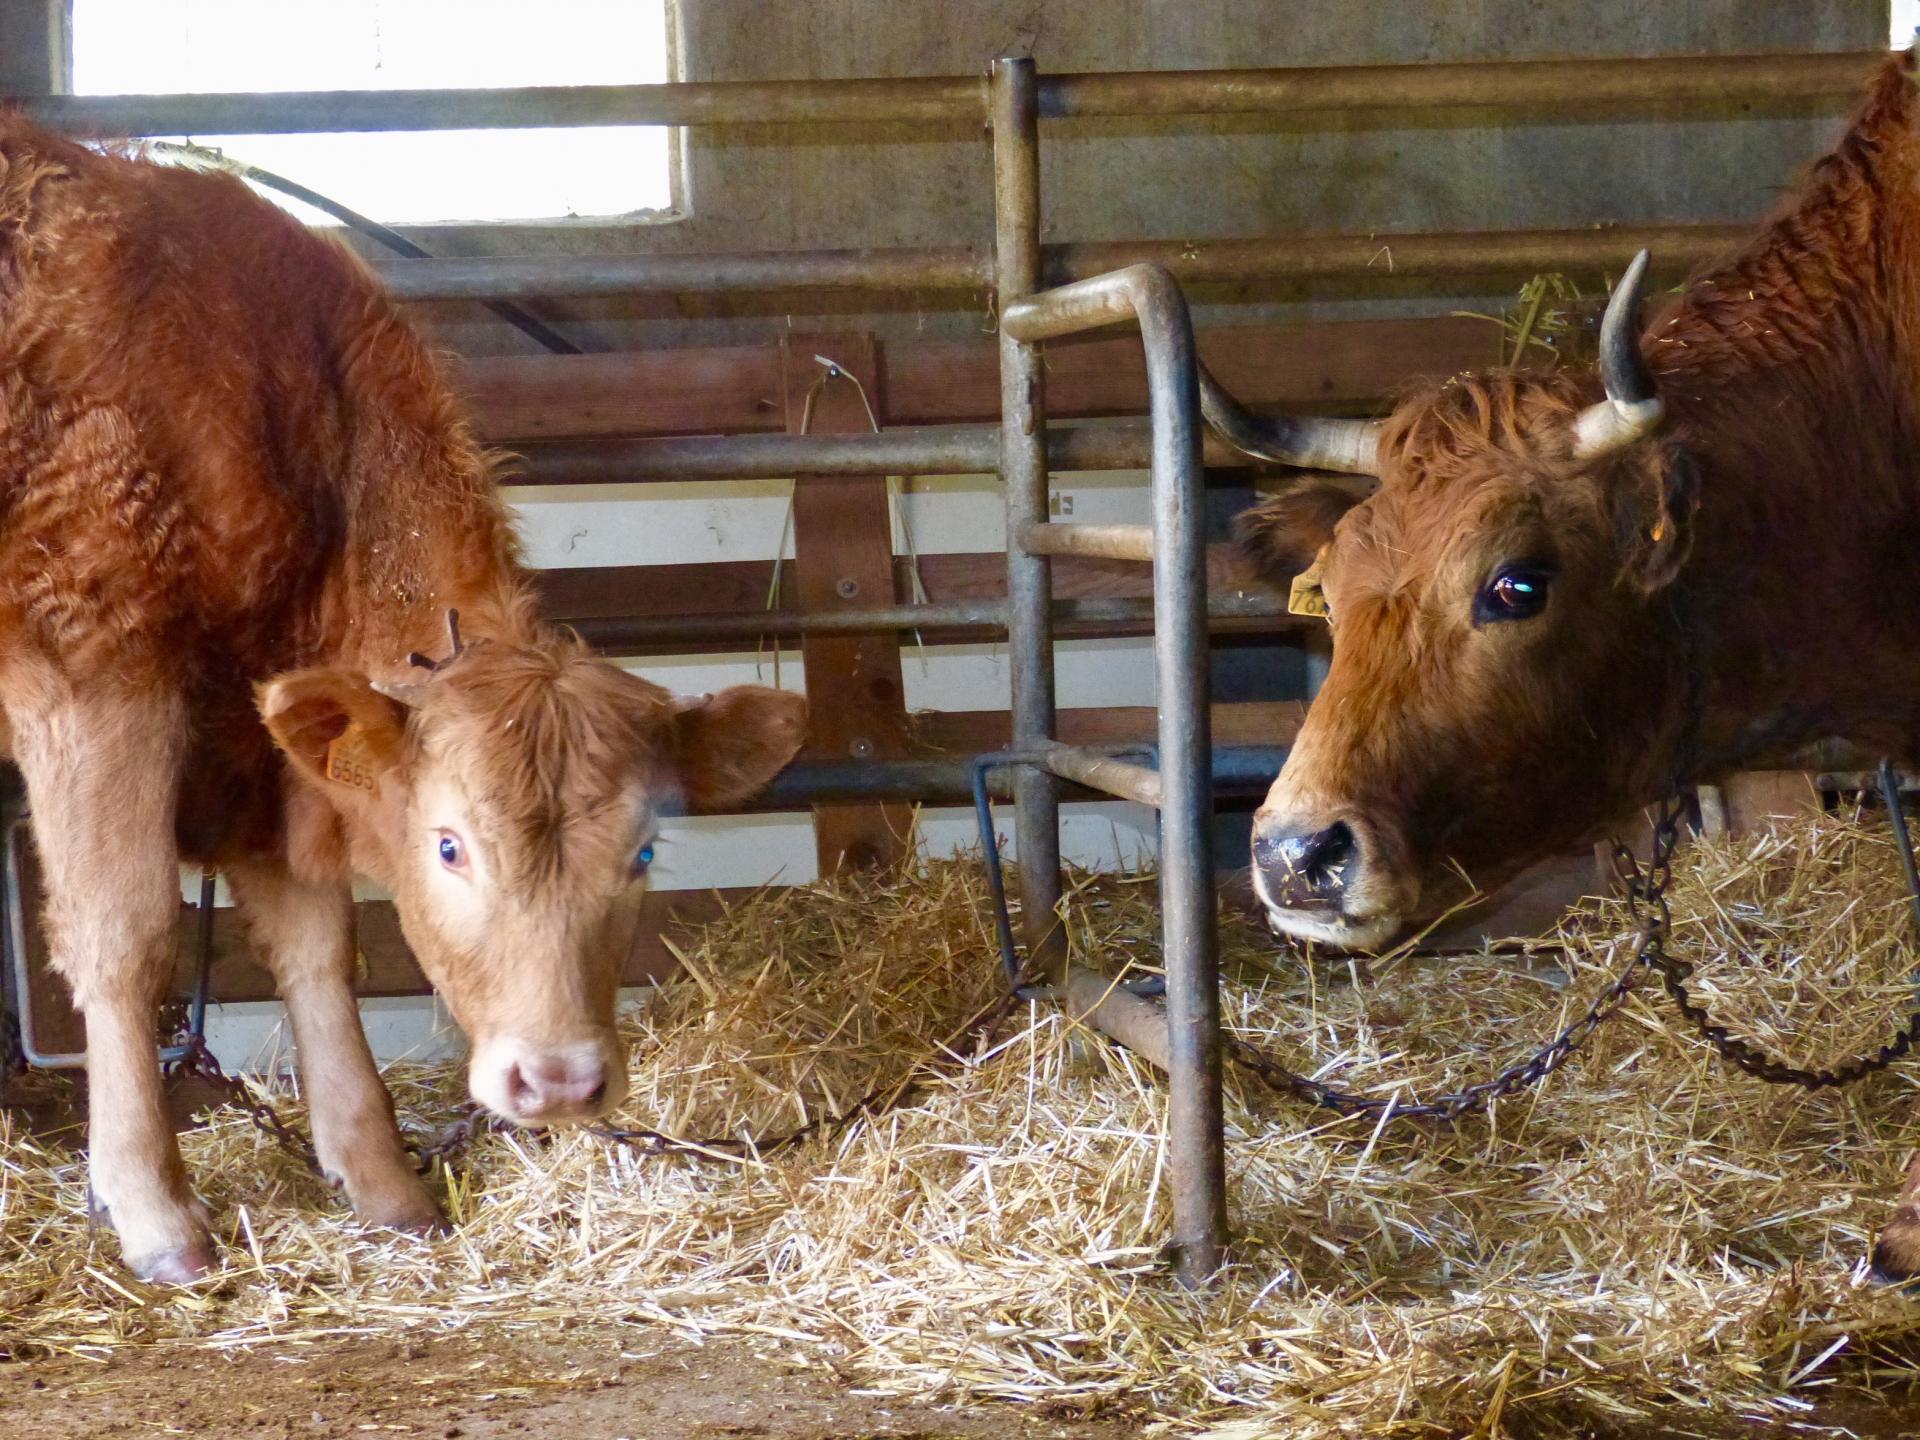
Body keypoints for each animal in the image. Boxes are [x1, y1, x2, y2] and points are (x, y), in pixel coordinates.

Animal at [0, 118, 807, 1283]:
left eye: (647, 850)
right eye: (449, 846)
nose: (559, 1081)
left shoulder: (264, 747)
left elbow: (316, 943)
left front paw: (379, 1175)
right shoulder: (94, 665)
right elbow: (125, 934)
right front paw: (152, 1206)